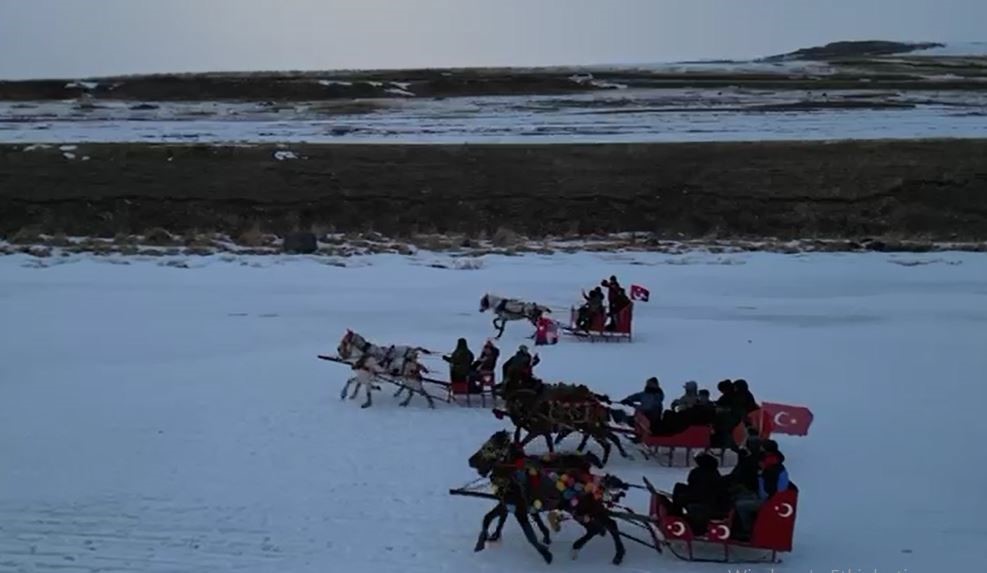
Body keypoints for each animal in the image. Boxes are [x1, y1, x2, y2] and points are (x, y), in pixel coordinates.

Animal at [466, 428, 628, 564]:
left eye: (489, 448)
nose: (470, 460)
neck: (511, 472)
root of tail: (585, 469)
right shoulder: (508, 505)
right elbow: (487, 518)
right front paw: (481, 543)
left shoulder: (519, 510)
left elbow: (530, 536)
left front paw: (546, 554)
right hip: (580, 509)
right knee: (601, 526)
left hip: (581, 508)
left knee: (605, 525)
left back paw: (614, 553)